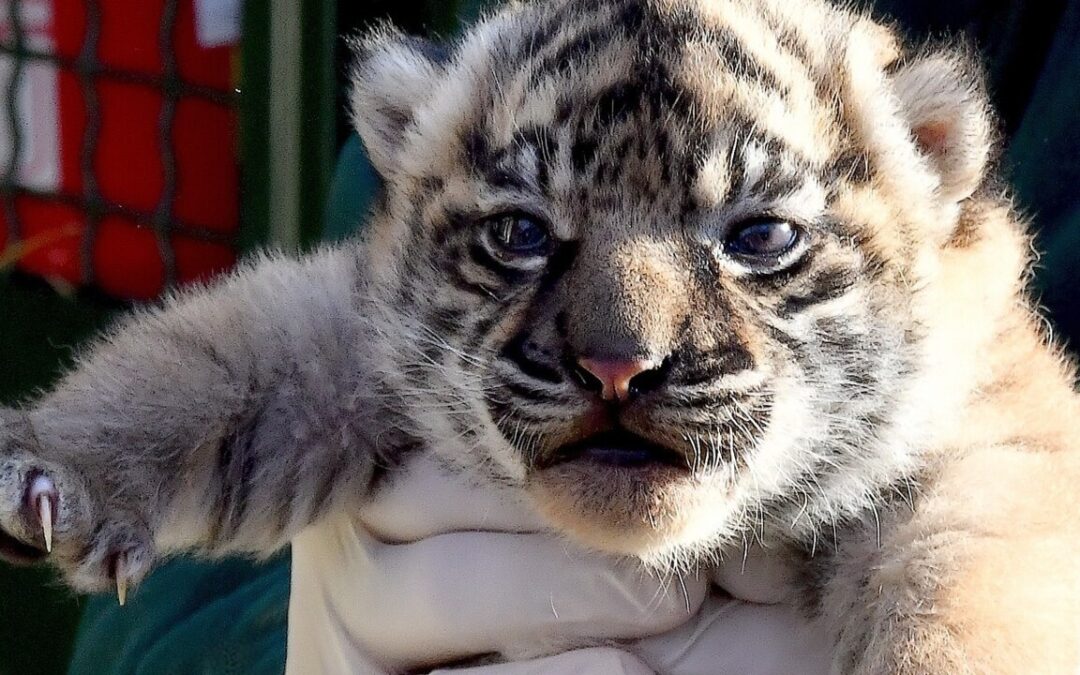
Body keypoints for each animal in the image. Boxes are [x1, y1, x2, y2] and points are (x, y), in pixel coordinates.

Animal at [2, 0, 1079, 672]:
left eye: (759, 237)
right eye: (521, 233)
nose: (617, 367)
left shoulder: (990, 449)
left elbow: (968, 584)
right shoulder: (349, 340)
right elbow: (211, 361)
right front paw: (48, 470)